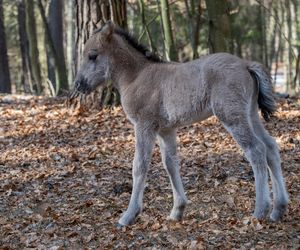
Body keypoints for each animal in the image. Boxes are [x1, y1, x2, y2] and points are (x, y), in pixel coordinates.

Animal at [69, 22, 288, 227]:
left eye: (92, 55)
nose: (78, 85)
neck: (136, 77)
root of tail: (246, 65)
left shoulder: (144, 125)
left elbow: (139, 166)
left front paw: (129, 215)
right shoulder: (166, 130)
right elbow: (171, 164)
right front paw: (177, 210)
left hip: (232, 116)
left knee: (256, 150)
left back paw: (260, 210)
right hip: (250, 114)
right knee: (270, 146)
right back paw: (278, 208)